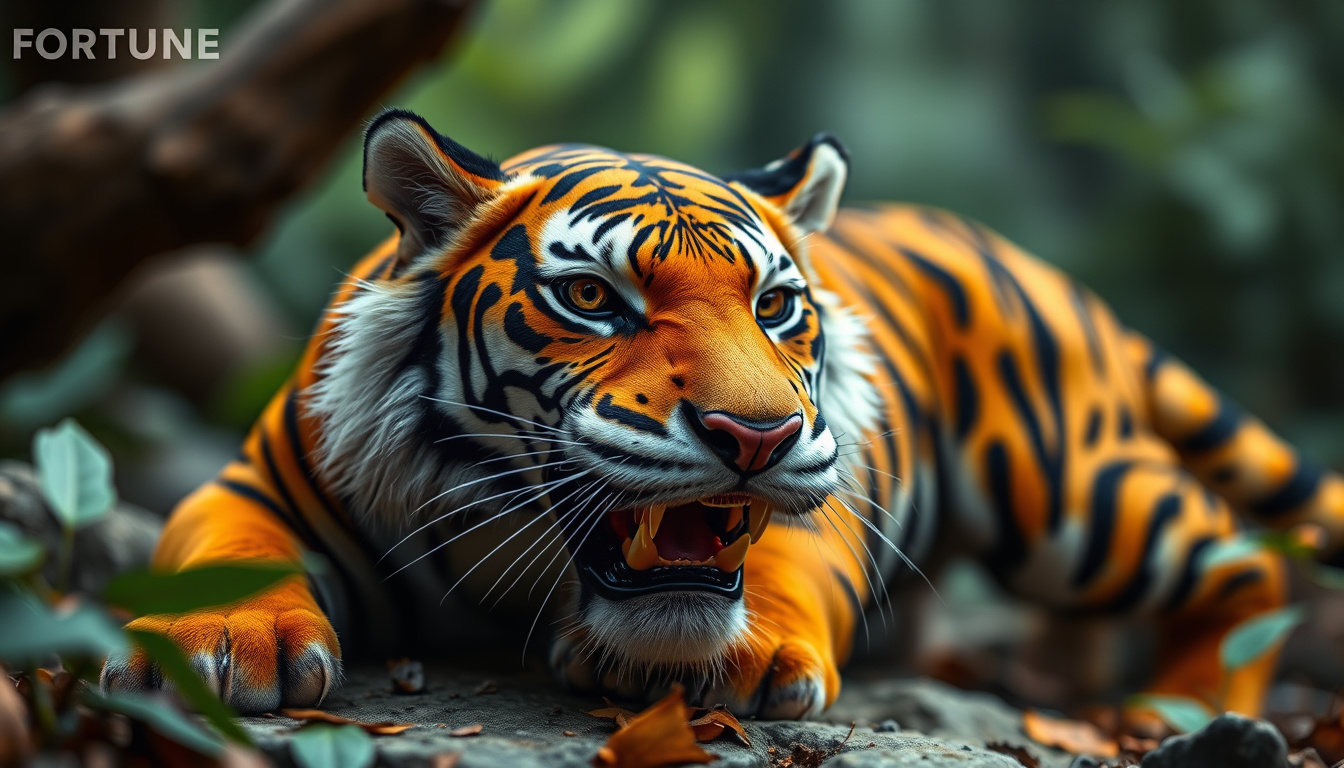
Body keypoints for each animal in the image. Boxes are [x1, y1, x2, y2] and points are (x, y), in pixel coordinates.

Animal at [100, 107, 1344, 722]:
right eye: (592, 299)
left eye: (777, 306)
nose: (756, 437)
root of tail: (1037, 263)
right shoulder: (252, 481)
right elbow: (221, 547)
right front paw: (230, 642)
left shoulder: (831, 492)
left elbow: (781, 566)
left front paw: (731, 662)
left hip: (1074, 498)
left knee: (1247, 561)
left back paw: (1179, 710)